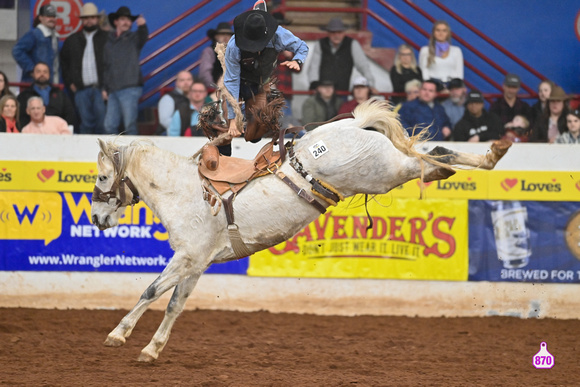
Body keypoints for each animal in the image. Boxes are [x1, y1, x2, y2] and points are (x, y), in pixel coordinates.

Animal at [90, 99, 512, 360]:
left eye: (101, 177)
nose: (96, 218)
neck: (184, 191)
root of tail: (354, 123)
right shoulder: (197, 264)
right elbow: (175, 304)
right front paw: (152, 349)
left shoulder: (186, 257)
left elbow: (150, 291)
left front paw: (117, 334)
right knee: (435, 158)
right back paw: (489, 156)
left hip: (384, 174)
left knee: (433, 157)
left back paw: (489, 155)